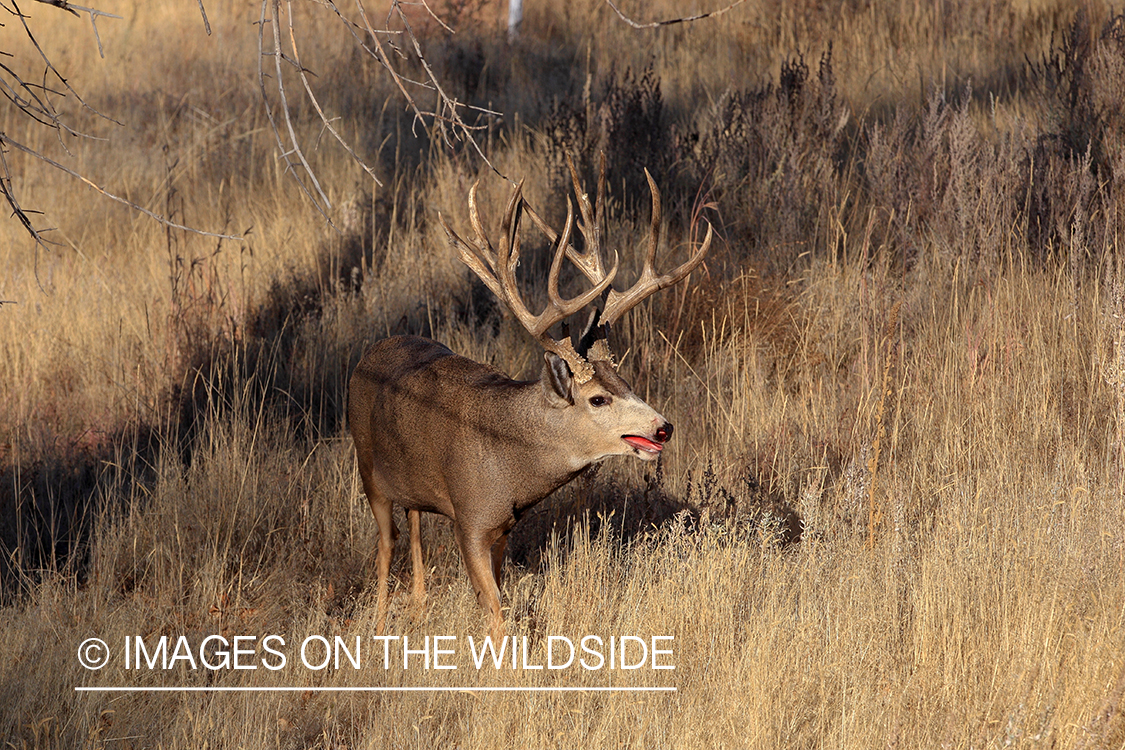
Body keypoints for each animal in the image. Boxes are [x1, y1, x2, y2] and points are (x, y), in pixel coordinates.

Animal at [346, 158, 706, 638]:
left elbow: (499, 598)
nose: (662, 427)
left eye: (625, 380)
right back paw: (382, 621)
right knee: (386, 545)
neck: (511, 461)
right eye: (597, 400)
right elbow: (496, 613)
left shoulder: (504, 527)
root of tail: (368, 354)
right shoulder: (471, 518)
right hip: (368, 470)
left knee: (414, 520)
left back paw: (419, 608)